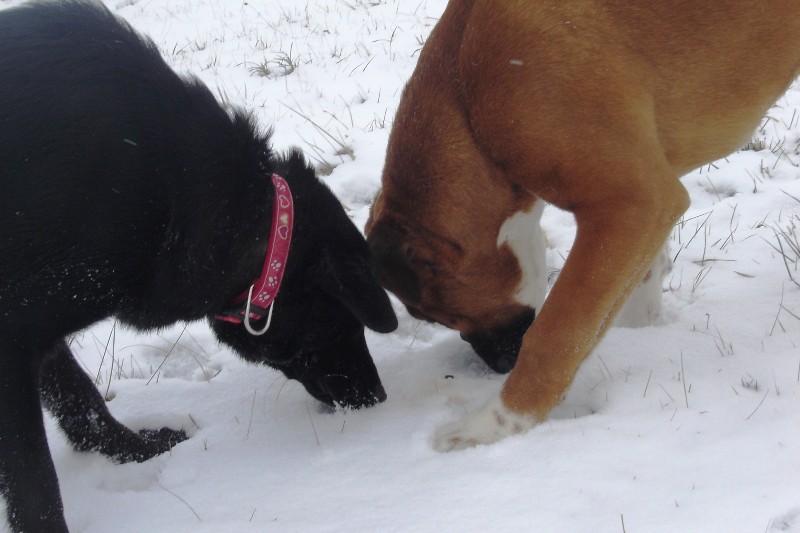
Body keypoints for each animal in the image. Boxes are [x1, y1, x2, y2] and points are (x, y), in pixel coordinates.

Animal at [0, 2, 398, 528]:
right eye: (346, 321)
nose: (376, 397)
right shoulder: (13, 337)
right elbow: (35, 482)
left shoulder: (34, 326)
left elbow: (80, 398)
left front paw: (135, 449)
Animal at [368, 0, 800, 448]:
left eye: (444, 317)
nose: (500, 364)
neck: (465, 94)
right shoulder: (642, 218)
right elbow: (638, 285)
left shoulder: (631, 206)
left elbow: (555, 336)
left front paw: (496, 425)